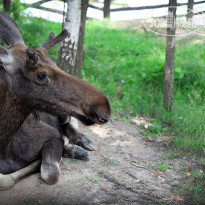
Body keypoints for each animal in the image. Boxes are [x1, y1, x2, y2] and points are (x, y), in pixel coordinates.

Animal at [0, 11, 110, 191]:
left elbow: (50, 173)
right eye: (41, 75)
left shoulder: (51, 135)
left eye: (55, 64)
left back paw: (83, 142)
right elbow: (4, 179)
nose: (103, 107)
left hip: (63, 115)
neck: (4, 146)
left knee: (70, 124)